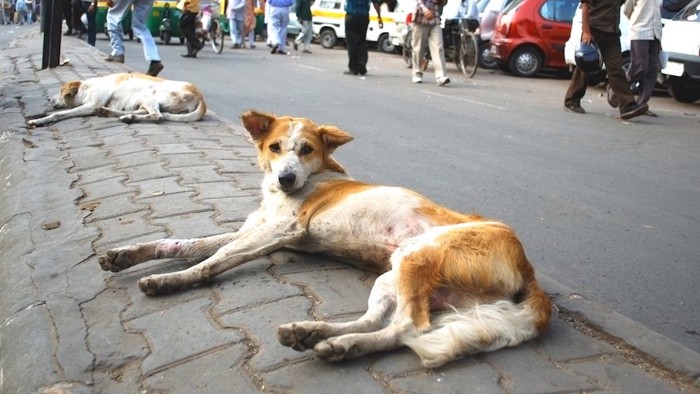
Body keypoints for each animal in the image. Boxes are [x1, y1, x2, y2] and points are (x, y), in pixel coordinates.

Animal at [28, 71, 208, 125]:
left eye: (60, 92)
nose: (49, 100)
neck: (88, 88)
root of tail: (200, 96)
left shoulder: (89, 105)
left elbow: (58, 114)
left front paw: (39, 120)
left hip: (149, 97)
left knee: (158, 117)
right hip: (144, 102)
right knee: (149, 113)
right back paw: (118, 114)